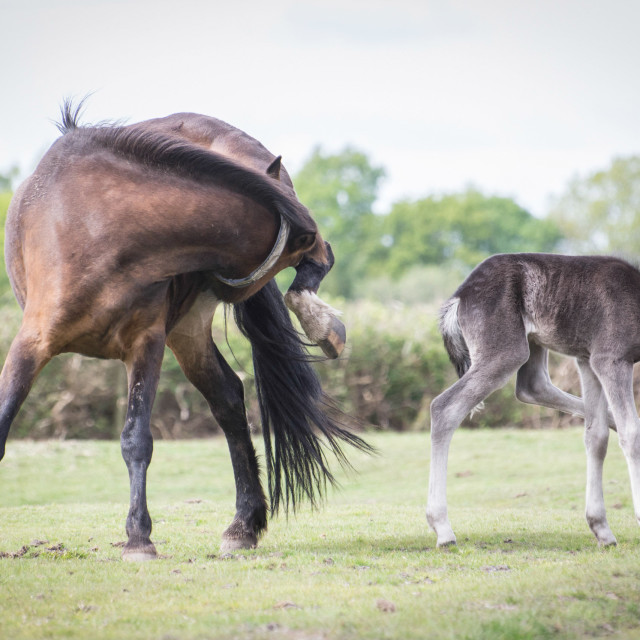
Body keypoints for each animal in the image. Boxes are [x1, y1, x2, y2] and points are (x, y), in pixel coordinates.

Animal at [1, 101, 370, 560]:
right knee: (229, 399)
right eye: (303, 236)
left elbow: (136, 439)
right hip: (187, 334)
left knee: (229, 398)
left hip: (185, 329)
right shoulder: (31, 343)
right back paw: (244, 524)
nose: (325, 250)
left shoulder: (146, 342)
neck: (96, 227)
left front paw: (138, 538)